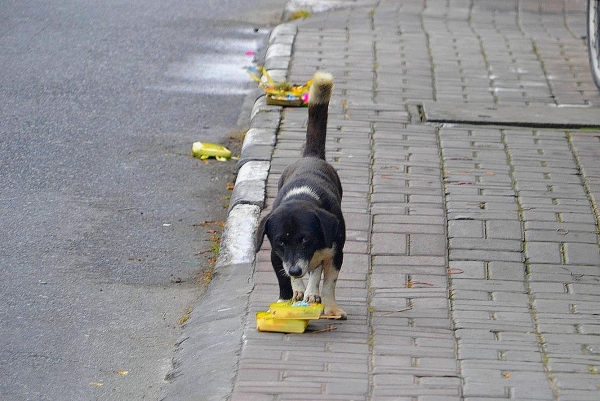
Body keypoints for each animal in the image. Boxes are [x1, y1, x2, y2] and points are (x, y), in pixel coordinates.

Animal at [254, 69, 346, 318]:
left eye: (305, 239)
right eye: (280, 241)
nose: (296, 270)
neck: (301, 197)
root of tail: (311, 156)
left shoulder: (335, 253)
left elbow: (329, 283)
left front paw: (331, 308)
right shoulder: (276, 255)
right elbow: (283, 282)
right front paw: (285, 303)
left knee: (316, 273)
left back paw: (311, 292)